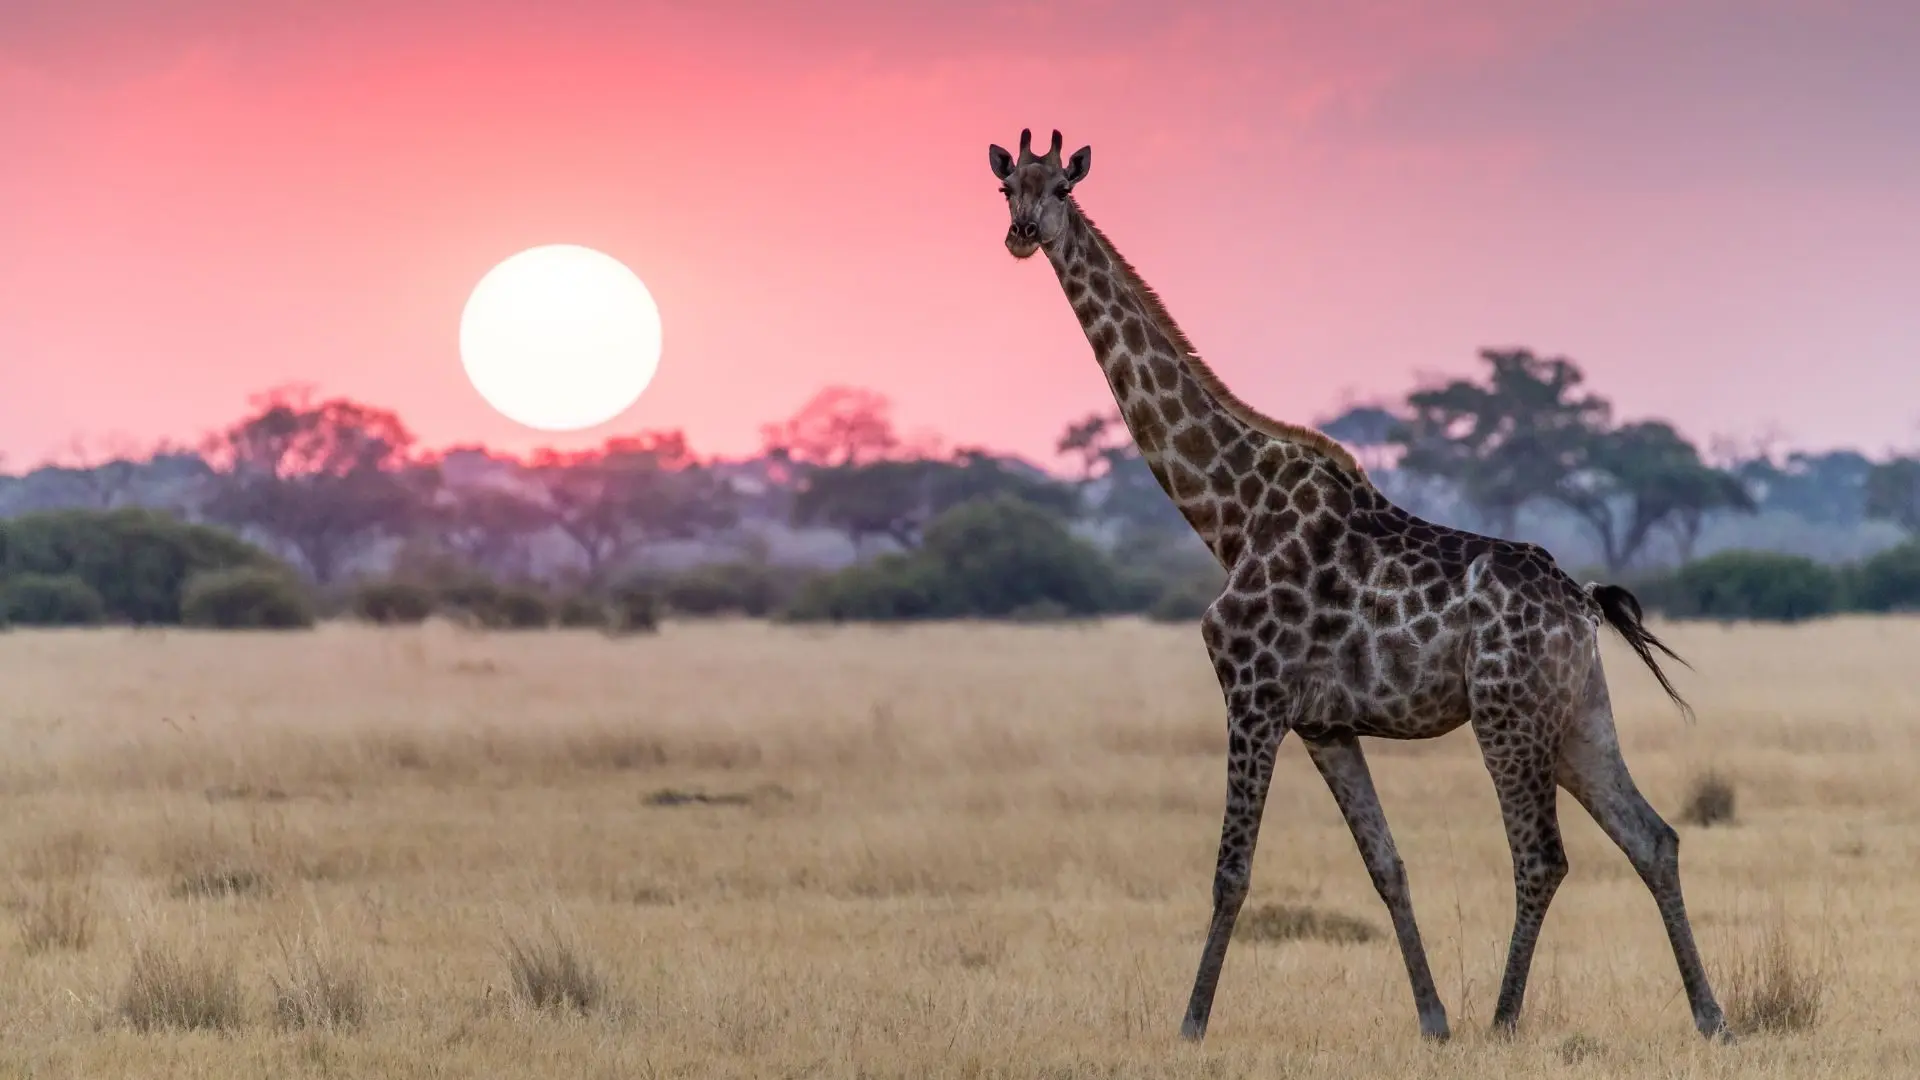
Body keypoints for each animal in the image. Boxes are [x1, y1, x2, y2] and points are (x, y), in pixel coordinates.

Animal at [987, 128, 1727, 1043]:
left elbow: (1231, 871)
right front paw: (1432, 1020)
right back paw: (1710, 1017)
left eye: (1060, 186)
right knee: (1652, 837)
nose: (1022, 234)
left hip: (1508, 714)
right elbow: (1387, 865)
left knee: (1542, 858)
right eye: (1006, 187)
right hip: (1579, 714)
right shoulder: (1326, 726)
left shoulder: (1254, 696)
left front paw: (1191, 1024)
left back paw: (1504, 1019)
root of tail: (1584, 604)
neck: (1229, 513)